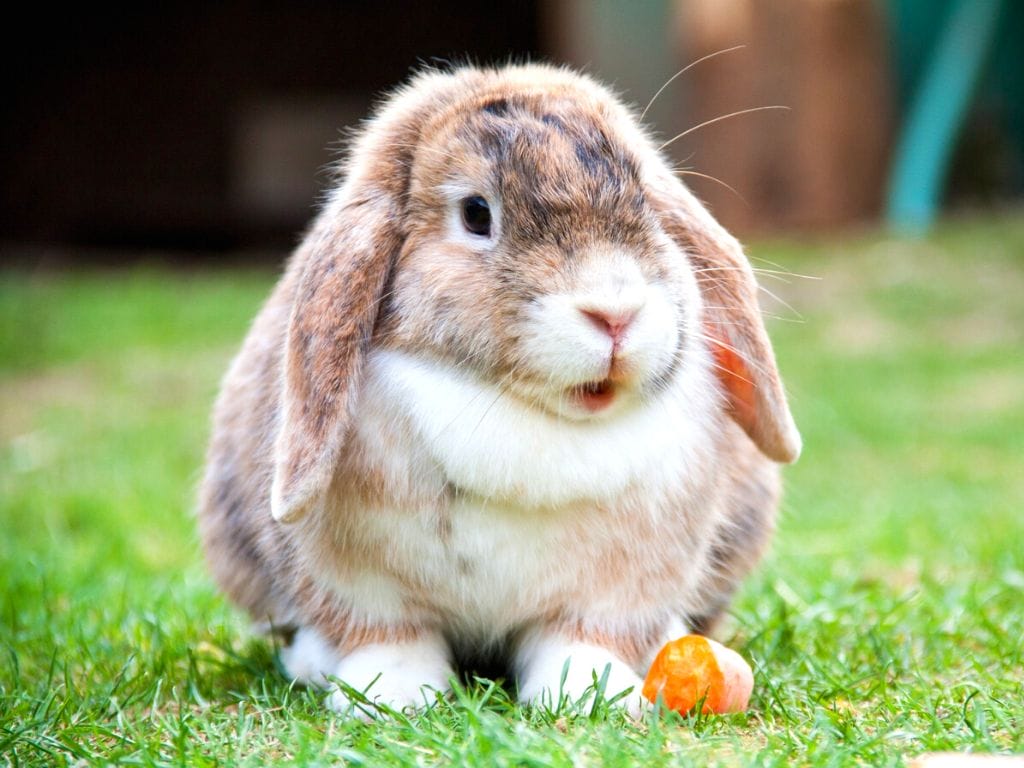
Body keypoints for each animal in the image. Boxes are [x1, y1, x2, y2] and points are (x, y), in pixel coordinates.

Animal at [193, 63, 798, 720]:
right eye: (477, 213)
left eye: (645, 199)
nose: (615, 313)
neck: (523, 413)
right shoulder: (359, 586)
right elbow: (389, 638)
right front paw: (391, 698)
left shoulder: (617, 589)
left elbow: (581, 639)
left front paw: (591, 696)